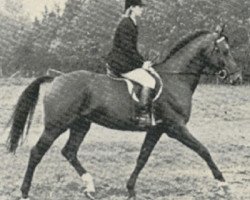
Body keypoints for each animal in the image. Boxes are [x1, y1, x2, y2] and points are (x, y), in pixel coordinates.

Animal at [6, 28, 242, 200]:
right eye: (224, 51)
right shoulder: (176, 128)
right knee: (37, 152)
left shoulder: (157, 129)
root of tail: (56, 78)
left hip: (81, 124)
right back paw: (25, 191)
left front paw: (130, 189)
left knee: (69, 151)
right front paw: (224, 185)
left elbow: (142, 158)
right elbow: (204, 151)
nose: (237, 78)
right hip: (56, 125)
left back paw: (90, 187)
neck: (176, 79)